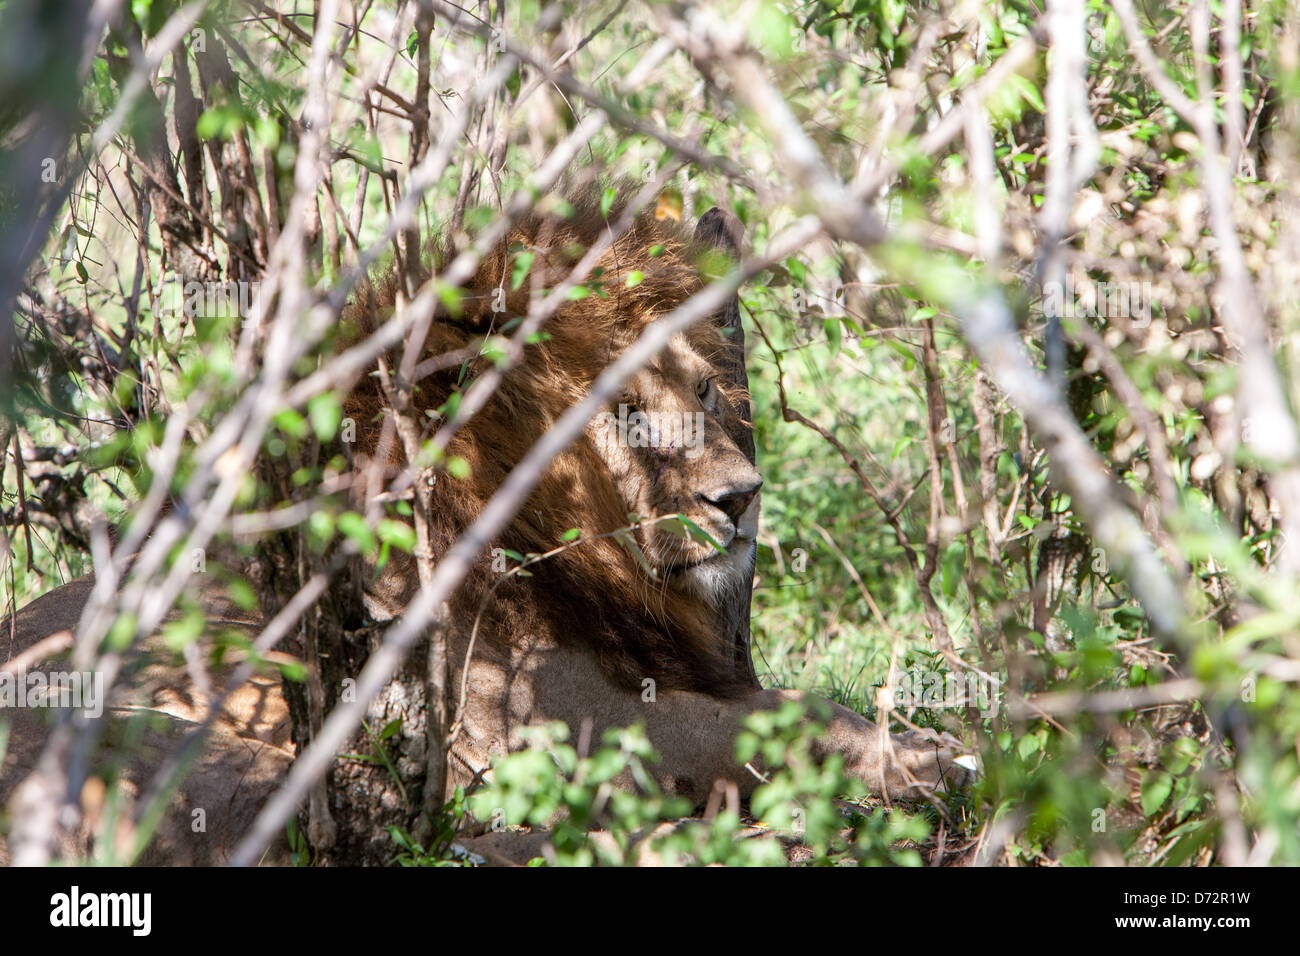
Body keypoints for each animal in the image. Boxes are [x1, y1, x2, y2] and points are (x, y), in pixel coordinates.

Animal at [1, 191, 972, 865]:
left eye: (704, 388)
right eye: (624, 412)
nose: (739, 498)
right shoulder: (567, 720)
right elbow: (789, 719)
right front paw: (935, 760)